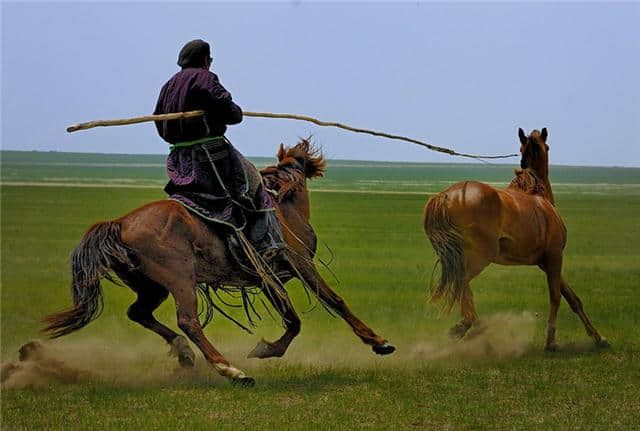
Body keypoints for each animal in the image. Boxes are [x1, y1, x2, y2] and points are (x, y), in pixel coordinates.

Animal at [42, 140, 396, 386]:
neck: (283, 208)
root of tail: (119, 223)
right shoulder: (298, 265)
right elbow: (330, 302)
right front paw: (378, 342)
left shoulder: (265, 277)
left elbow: (292, 317)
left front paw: (267, 348)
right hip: (180, 280)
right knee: (188, 321)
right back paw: (231, 370)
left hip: (152, 286)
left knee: (139, 313)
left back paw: (185, 354)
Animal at [424, 128, 608, 352]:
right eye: (548, 147)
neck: (538, 196)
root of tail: (445, 196)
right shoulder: (555, 256)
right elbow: (556, 296)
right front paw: (550, 341)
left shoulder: (545, 262)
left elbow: (572, 298)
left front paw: (599, 338)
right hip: (477, 258)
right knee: (460, 285)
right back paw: (471, 329)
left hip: (458, 257)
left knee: (461, 287)